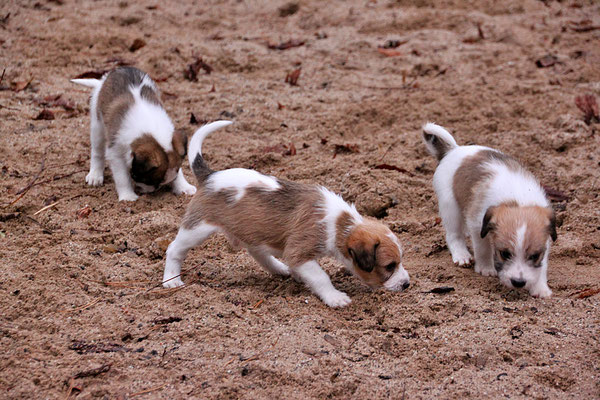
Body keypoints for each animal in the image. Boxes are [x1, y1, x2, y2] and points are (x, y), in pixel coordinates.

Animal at [71, 67, 195, 203]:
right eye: (146, 179)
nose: (150, 192)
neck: (149, 126)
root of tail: (102, 81)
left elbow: (178, 171)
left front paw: (183, 187)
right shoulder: (115, 153)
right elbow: (122, 178)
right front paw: (127, 196)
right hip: (97, 125)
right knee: (97, 152)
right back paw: (95, 175)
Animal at [162, 120, 410, 308]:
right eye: (389, 266)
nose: (407, 284)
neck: (339, 222)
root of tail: (210, 175)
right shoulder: (299, 252)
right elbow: (321, 276)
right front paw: (335, 297)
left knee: (257, 252)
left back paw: (281, 269)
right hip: (197, 228)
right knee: (174, 249)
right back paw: (171, 281)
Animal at [422, 122, 556, 296]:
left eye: (534, 255)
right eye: (504, 254)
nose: (518, 282)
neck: (517, 200)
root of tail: (453, 150)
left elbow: (542, 264)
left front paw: (540, 287)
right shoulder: (477, 224)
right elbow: (483, 248)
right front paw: (486, 268)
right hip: (450, 207)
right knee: (453, 235)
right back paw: (461, 254)